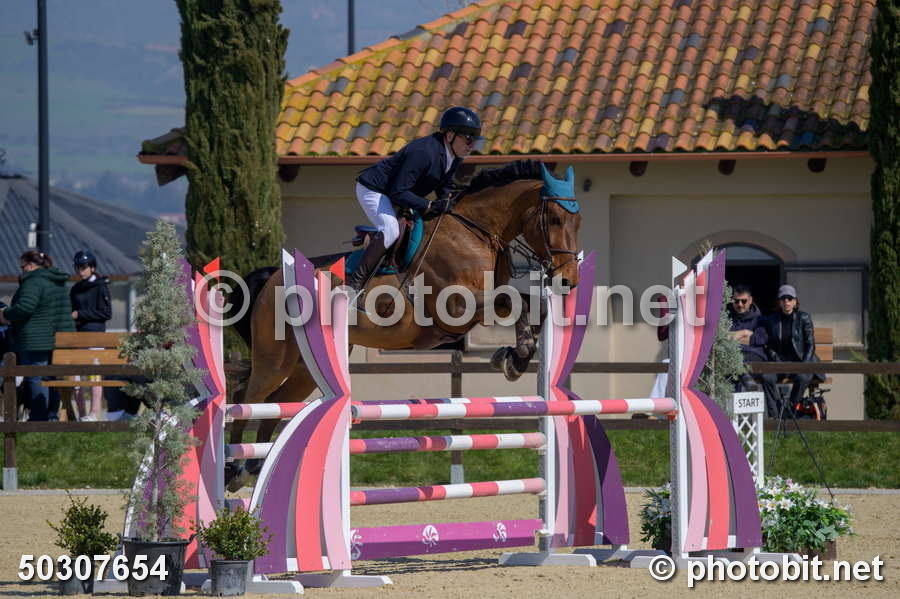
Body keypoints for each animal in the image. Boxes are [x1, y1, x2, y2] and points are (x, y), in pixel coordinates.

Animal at [225, 160, 582, 489]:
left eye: (577, 221)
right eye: (554, 218)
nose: (567, 281)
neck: (478, 232)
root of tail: (271, 276)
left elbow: (530, 305)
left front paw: (514, 355)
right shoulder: (456, 307)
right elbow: (514, 301)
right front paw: (514, 359)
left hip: (304, 369)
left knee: (275, 403)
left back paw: (254, 467)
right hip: (276, 359)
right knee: (248, 397)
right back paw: (232, 467)